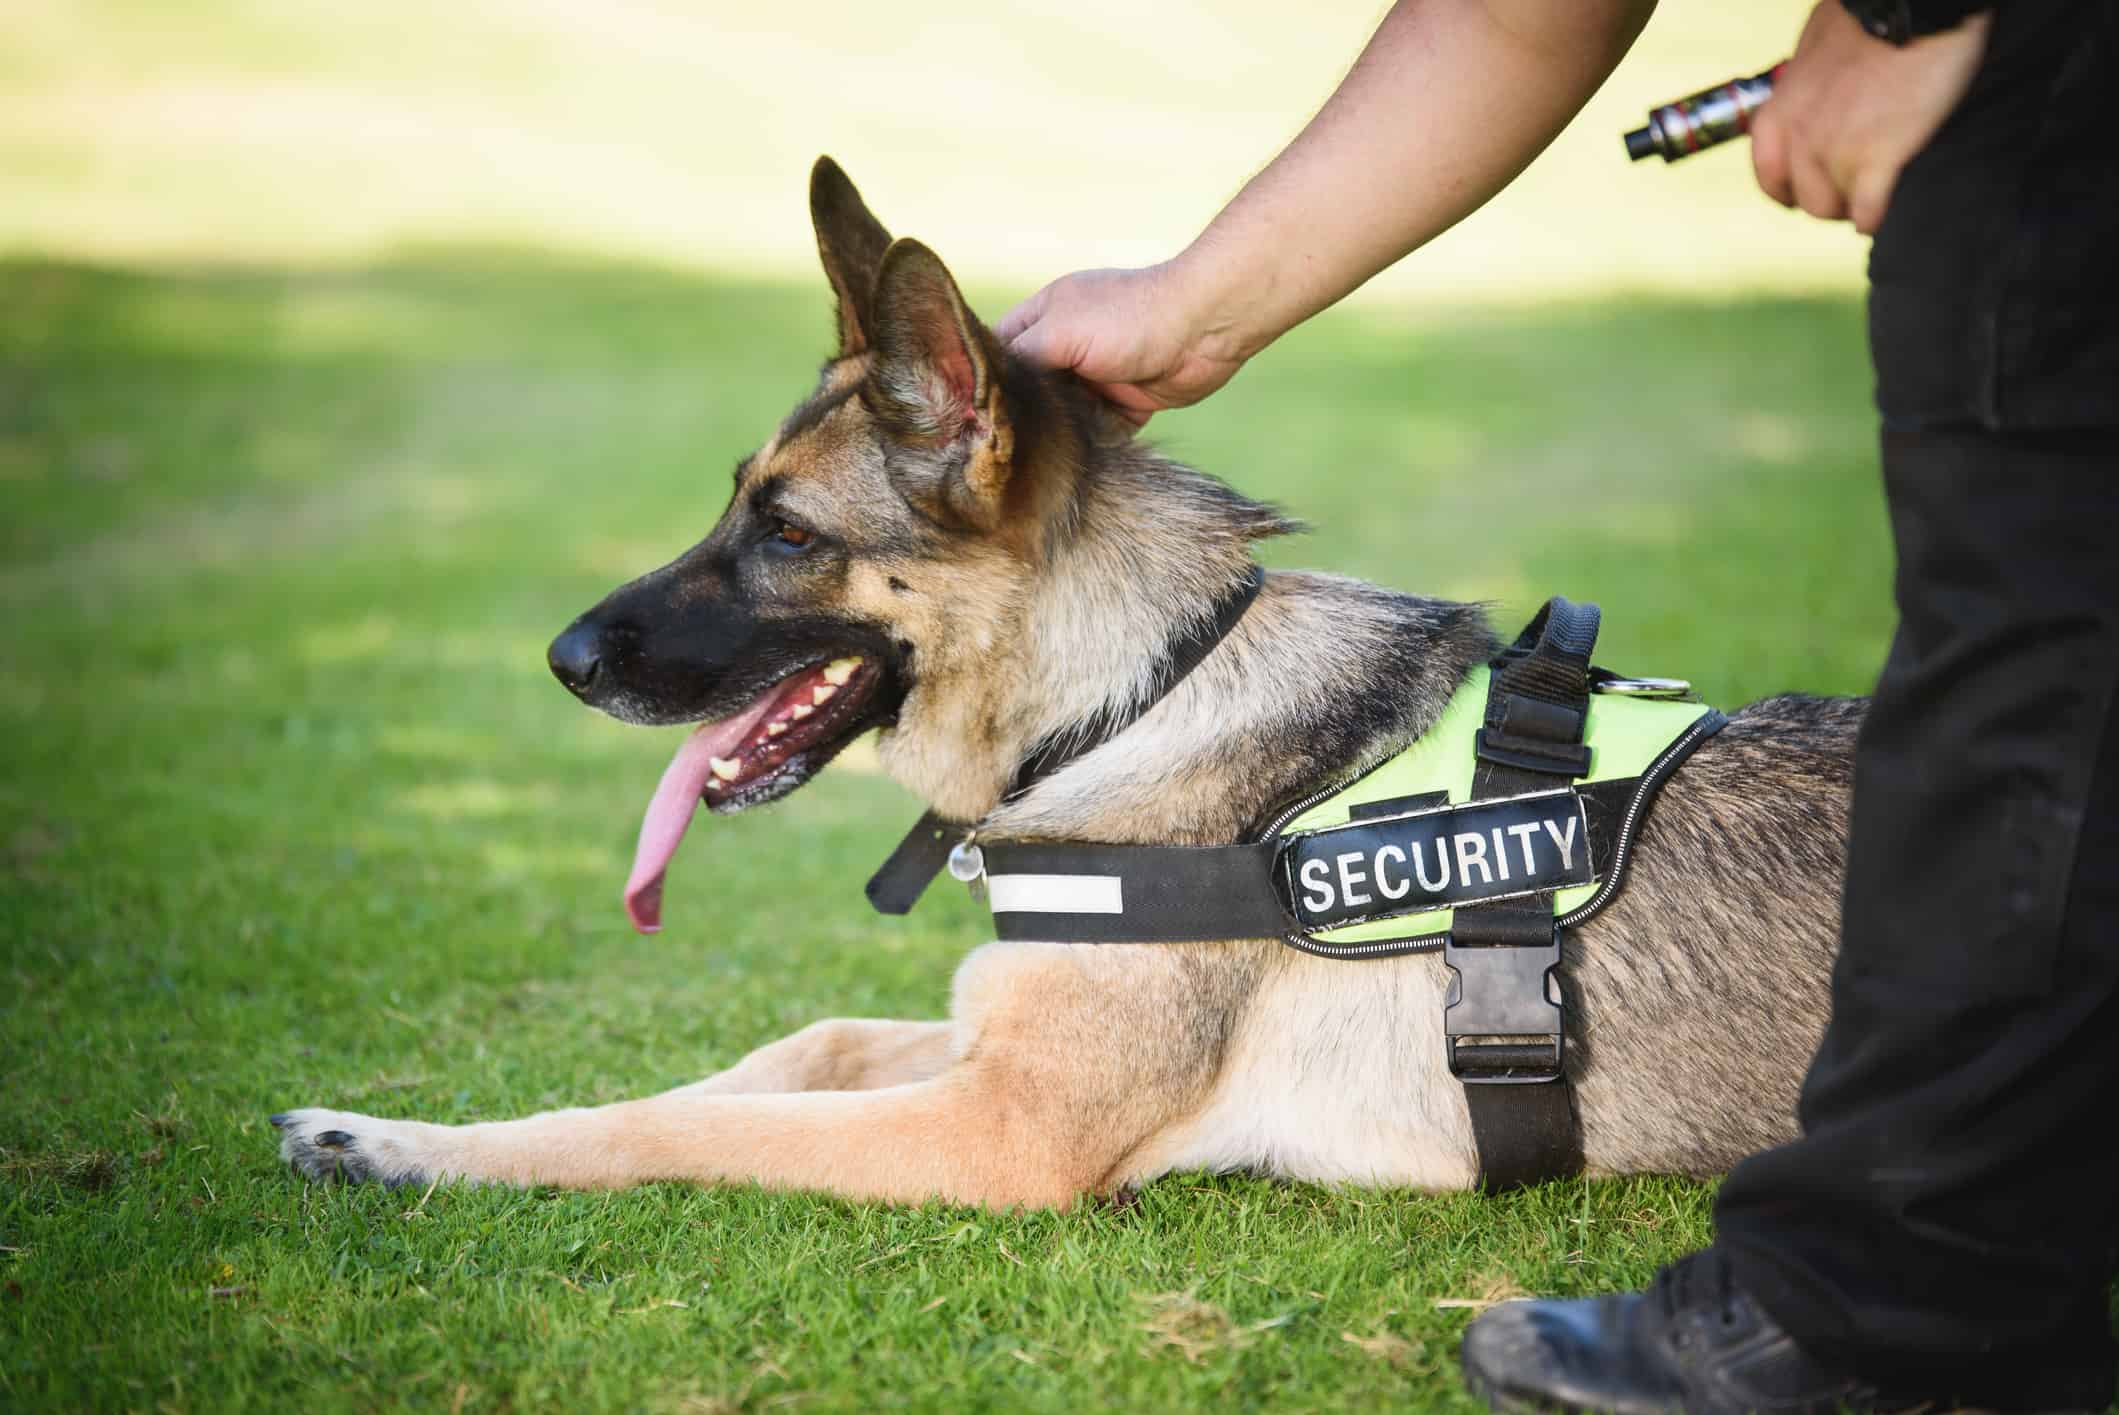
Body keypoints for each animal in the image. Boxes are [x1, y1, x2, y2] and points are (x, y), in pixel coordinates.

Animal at [273, 163, 1864, 1203]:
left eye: (785, 534)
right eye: (734, 501)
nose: (561, 661)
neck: (1134, 700)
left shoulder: (997, 1132)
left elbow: (663, 1132)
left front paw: (409, 1148)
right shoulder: (974, 1048)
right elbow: (788, 1045)